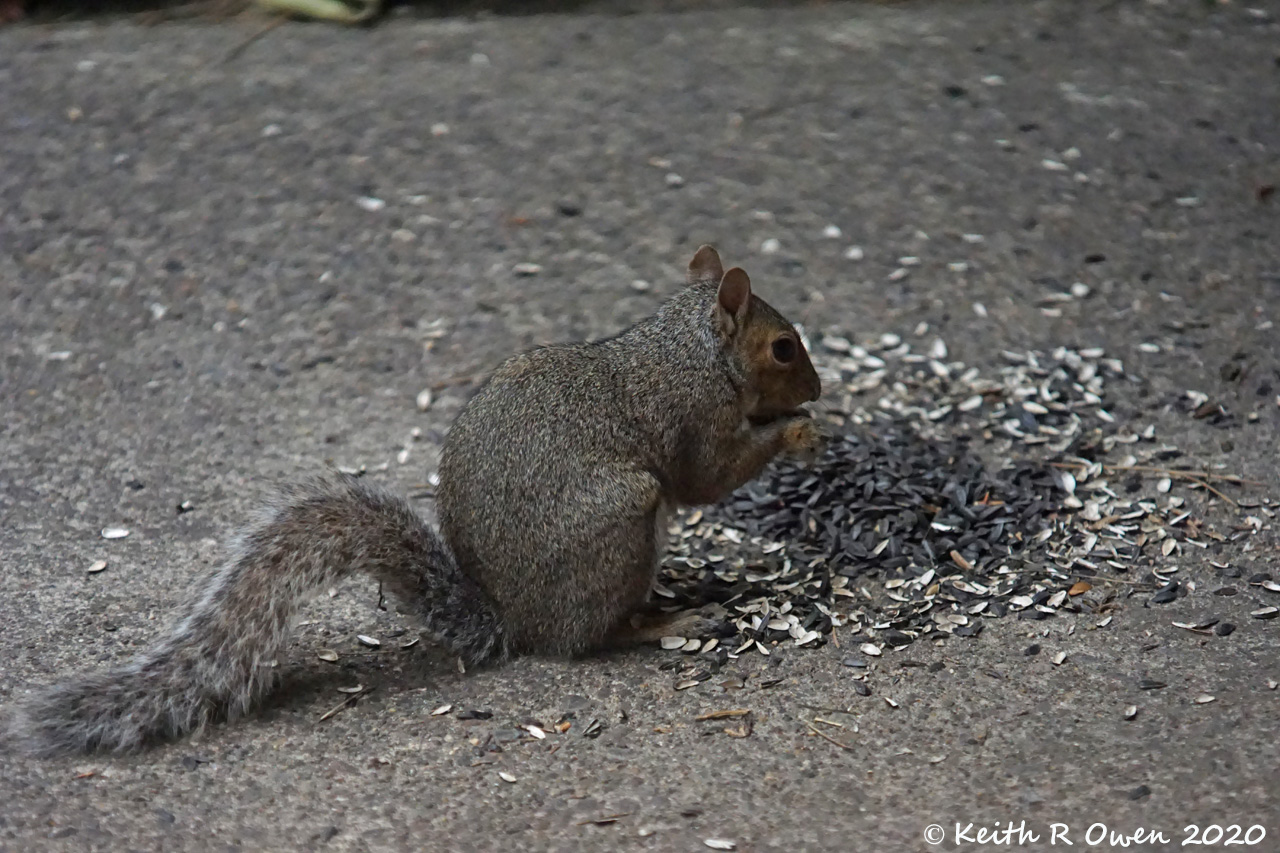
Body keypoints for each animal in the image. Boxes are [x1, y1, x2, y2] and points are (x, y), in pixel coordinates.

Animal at [7, 245, 823, 756]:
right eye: (783, 347)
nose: (815, 389)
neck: (689, 350)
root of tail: (513, 620)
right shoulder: (694, 421)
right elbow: (708, 478)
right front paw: (797, 431)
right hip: (625, 515)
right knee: (590, 638)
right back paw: (669, 620)